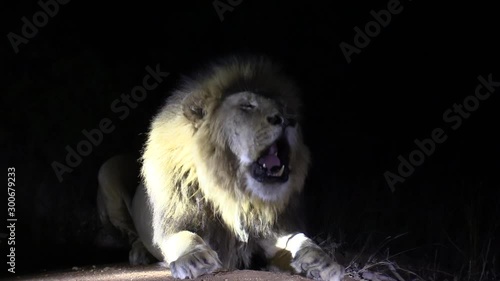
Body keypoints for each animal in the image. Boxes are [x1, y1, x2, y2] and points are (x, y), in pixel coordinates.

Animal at [97, 55, 344, 280]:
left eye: (285, 109)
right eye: (247, 106)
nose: (289, 120)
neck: (234, 193)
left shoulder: (269, 230)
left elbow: (298, 239)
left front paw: (321, 260)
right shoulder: (174, 223)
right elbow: (184, 237)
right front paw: (194, 258)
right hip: (107, 170)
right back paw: (139, 253)